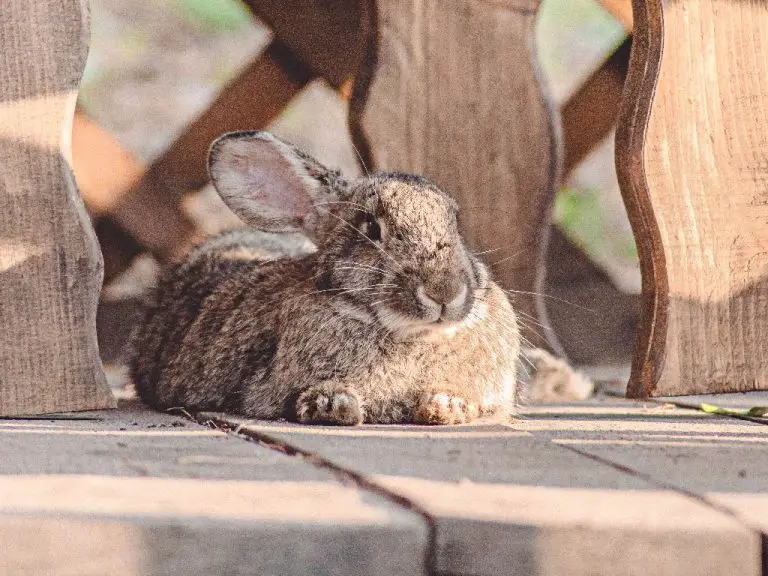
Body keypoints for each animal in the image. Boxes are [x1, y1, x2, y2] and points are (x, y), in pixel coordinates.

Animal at [129, 133, 592, 426]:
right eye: (371, 228)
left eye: (456, 222)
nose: (444, 292)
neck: (411, 334)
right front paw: (334, 405)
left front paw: (446, 405)